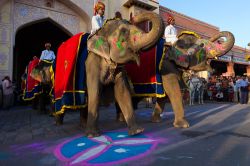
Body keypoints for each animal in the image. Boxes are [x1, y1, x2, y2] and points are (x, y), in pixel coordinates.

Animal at [30, 11, 165, 136]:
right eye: (123, 33)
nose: (134, 17)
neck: (101, 32)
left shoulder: (118, 67)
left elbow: (122, 91)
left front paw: (137, 131)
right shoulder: (91, 63)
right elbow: (95, 91)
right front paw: (93, 135)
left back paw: (82, 125)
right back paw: (58, 123)